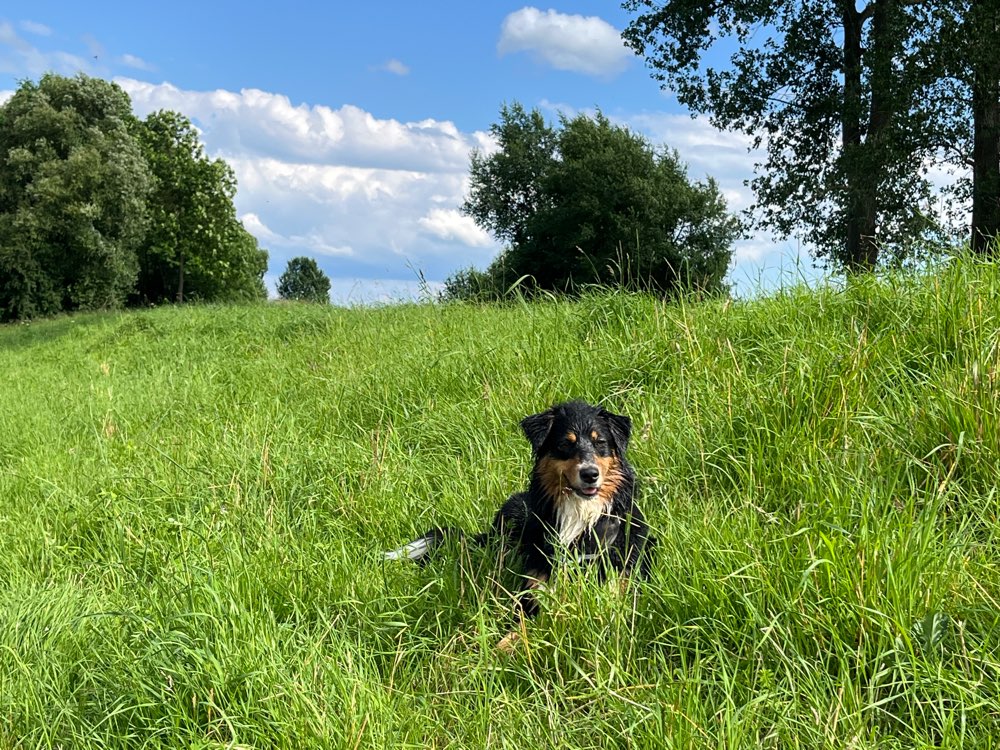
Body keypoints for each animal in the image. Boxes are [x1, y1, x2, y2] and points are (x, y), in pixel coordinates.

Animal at [384, 402, 656, 620]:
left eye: (600, 443)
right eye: (564, 444)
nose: (590, 474)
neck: (581, 515)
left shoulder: (622, 580)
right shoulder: (534, 593)